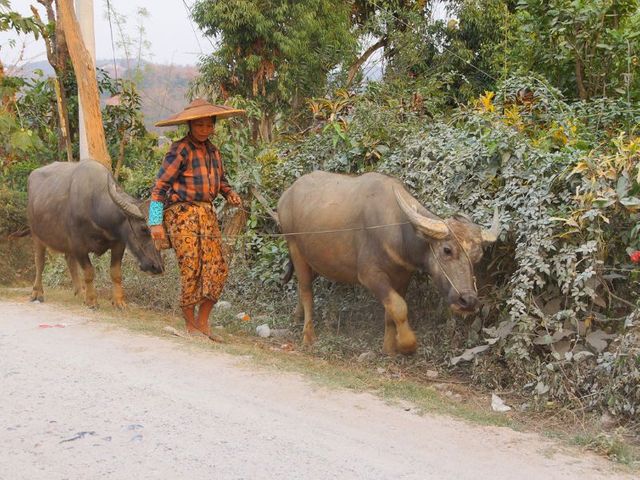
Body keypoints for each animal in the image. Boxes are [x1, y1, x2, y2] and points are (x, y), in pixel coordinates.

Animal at [27, 158, 164, 308]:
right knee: (40, 263)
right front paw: (92, 300)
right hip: (37, 236)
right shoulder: (78, 246)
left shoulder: (118, 244)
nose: (157, 267)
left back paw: (80, 292)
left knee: (69, 260)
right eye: (143, 229)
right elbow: (89, 272)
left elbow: (116, 273)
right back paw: (37, 293)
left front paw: (119, 301)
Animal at [276, 171, 500, 354]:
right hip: (295, 248)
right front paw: (407, 345)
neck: (399, 232)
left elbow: (390, 312)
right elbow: (400, 307)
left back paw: (296, 316)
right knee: (306, 291)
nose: (468, 301)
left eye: (477, 257)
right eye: (447, 250)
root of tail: (286, 196)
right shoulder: (370, 276)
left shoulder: (402, 277)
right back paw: (308, 336)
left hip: (314, 259)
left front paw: (389, 348)